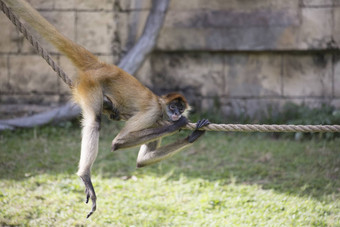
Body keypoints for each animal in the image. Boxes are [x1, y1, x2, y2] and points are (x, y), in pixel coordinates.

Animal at [3, 0, 209, 220]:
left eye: (181, 107)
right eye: (173, 107)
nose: (177, 113)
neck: (160, 105)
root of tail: (103, 65)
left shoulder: (156, 120)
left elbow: (142, 161)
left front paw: (194, 135)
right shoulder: (153, 112)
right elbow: (118, 142)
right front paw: (179, 125)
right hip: (90, 85)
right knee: (94, 121)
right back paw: (85, 174)